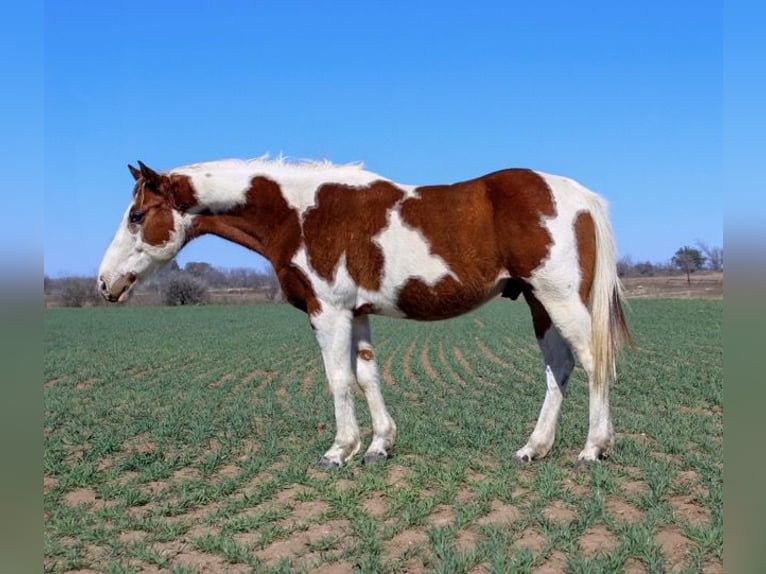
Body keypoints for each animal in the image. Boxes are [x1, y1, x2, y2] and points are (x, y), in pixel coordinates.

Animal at [99, 156, 632, 468]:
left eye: (137, 216)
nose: (105, 283)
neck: (300, 212)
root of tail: (579, 195)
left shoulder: (327, 310)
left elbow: (338, 378)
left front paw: (340, 450)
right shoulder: (356, 312)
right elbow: (366, 375)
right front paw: (379, 445)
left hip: (559, 299)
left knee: (593, 364)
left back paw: (593, 448)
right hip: (539, 303)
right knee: (559, 368)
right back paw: (534, 448)